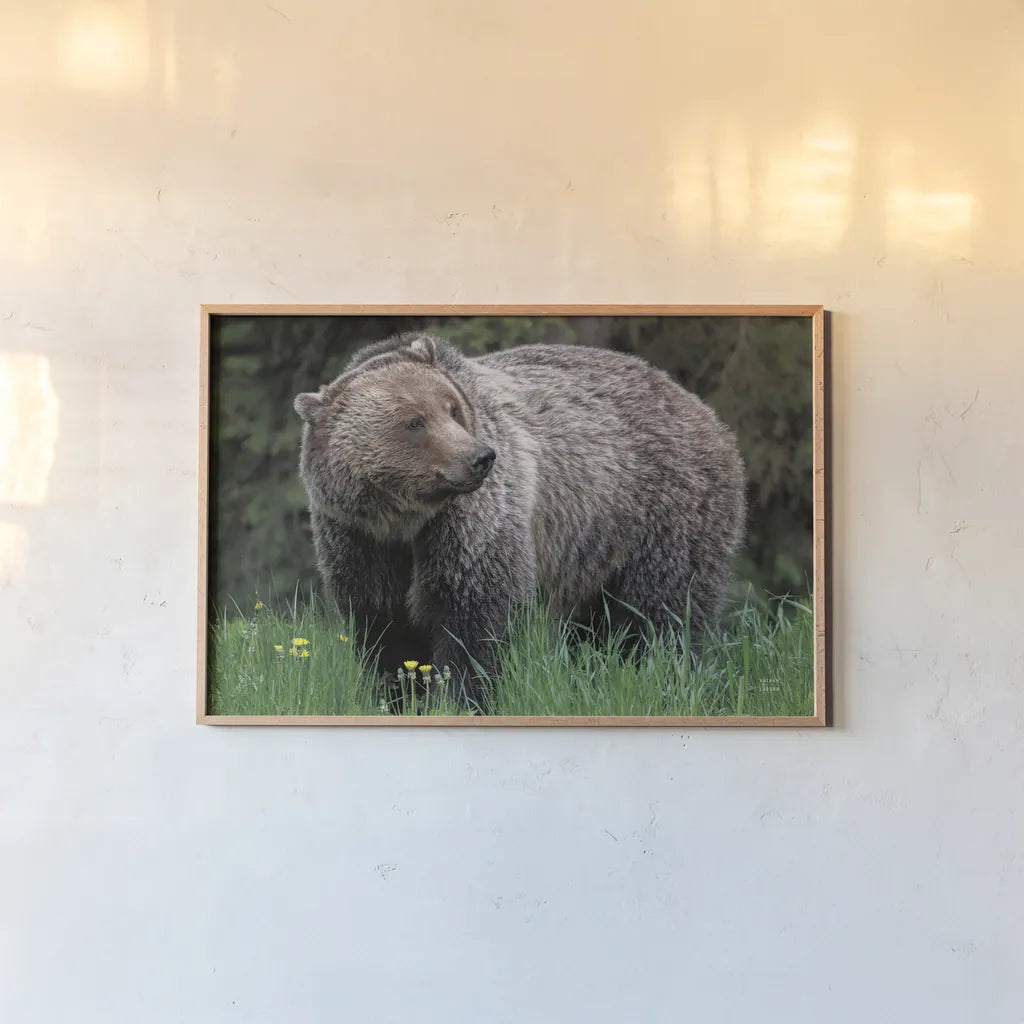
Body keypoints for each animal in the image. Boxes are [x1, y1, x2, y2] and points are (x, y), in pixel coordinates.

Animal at [293, 332, 746, 709]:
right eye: (414, 422)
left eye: (452, 408)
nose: (479, 457)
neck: (404, 519)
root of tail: (701, 409)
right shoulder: (357, 537)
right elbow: (384, 625)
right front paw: (399, 696)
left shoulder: (471, 525)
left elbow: (475, 614)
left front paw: (461, 698)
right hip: (595, 549)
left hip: (660, 511)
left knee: (660, 612)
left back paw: (663, 676)